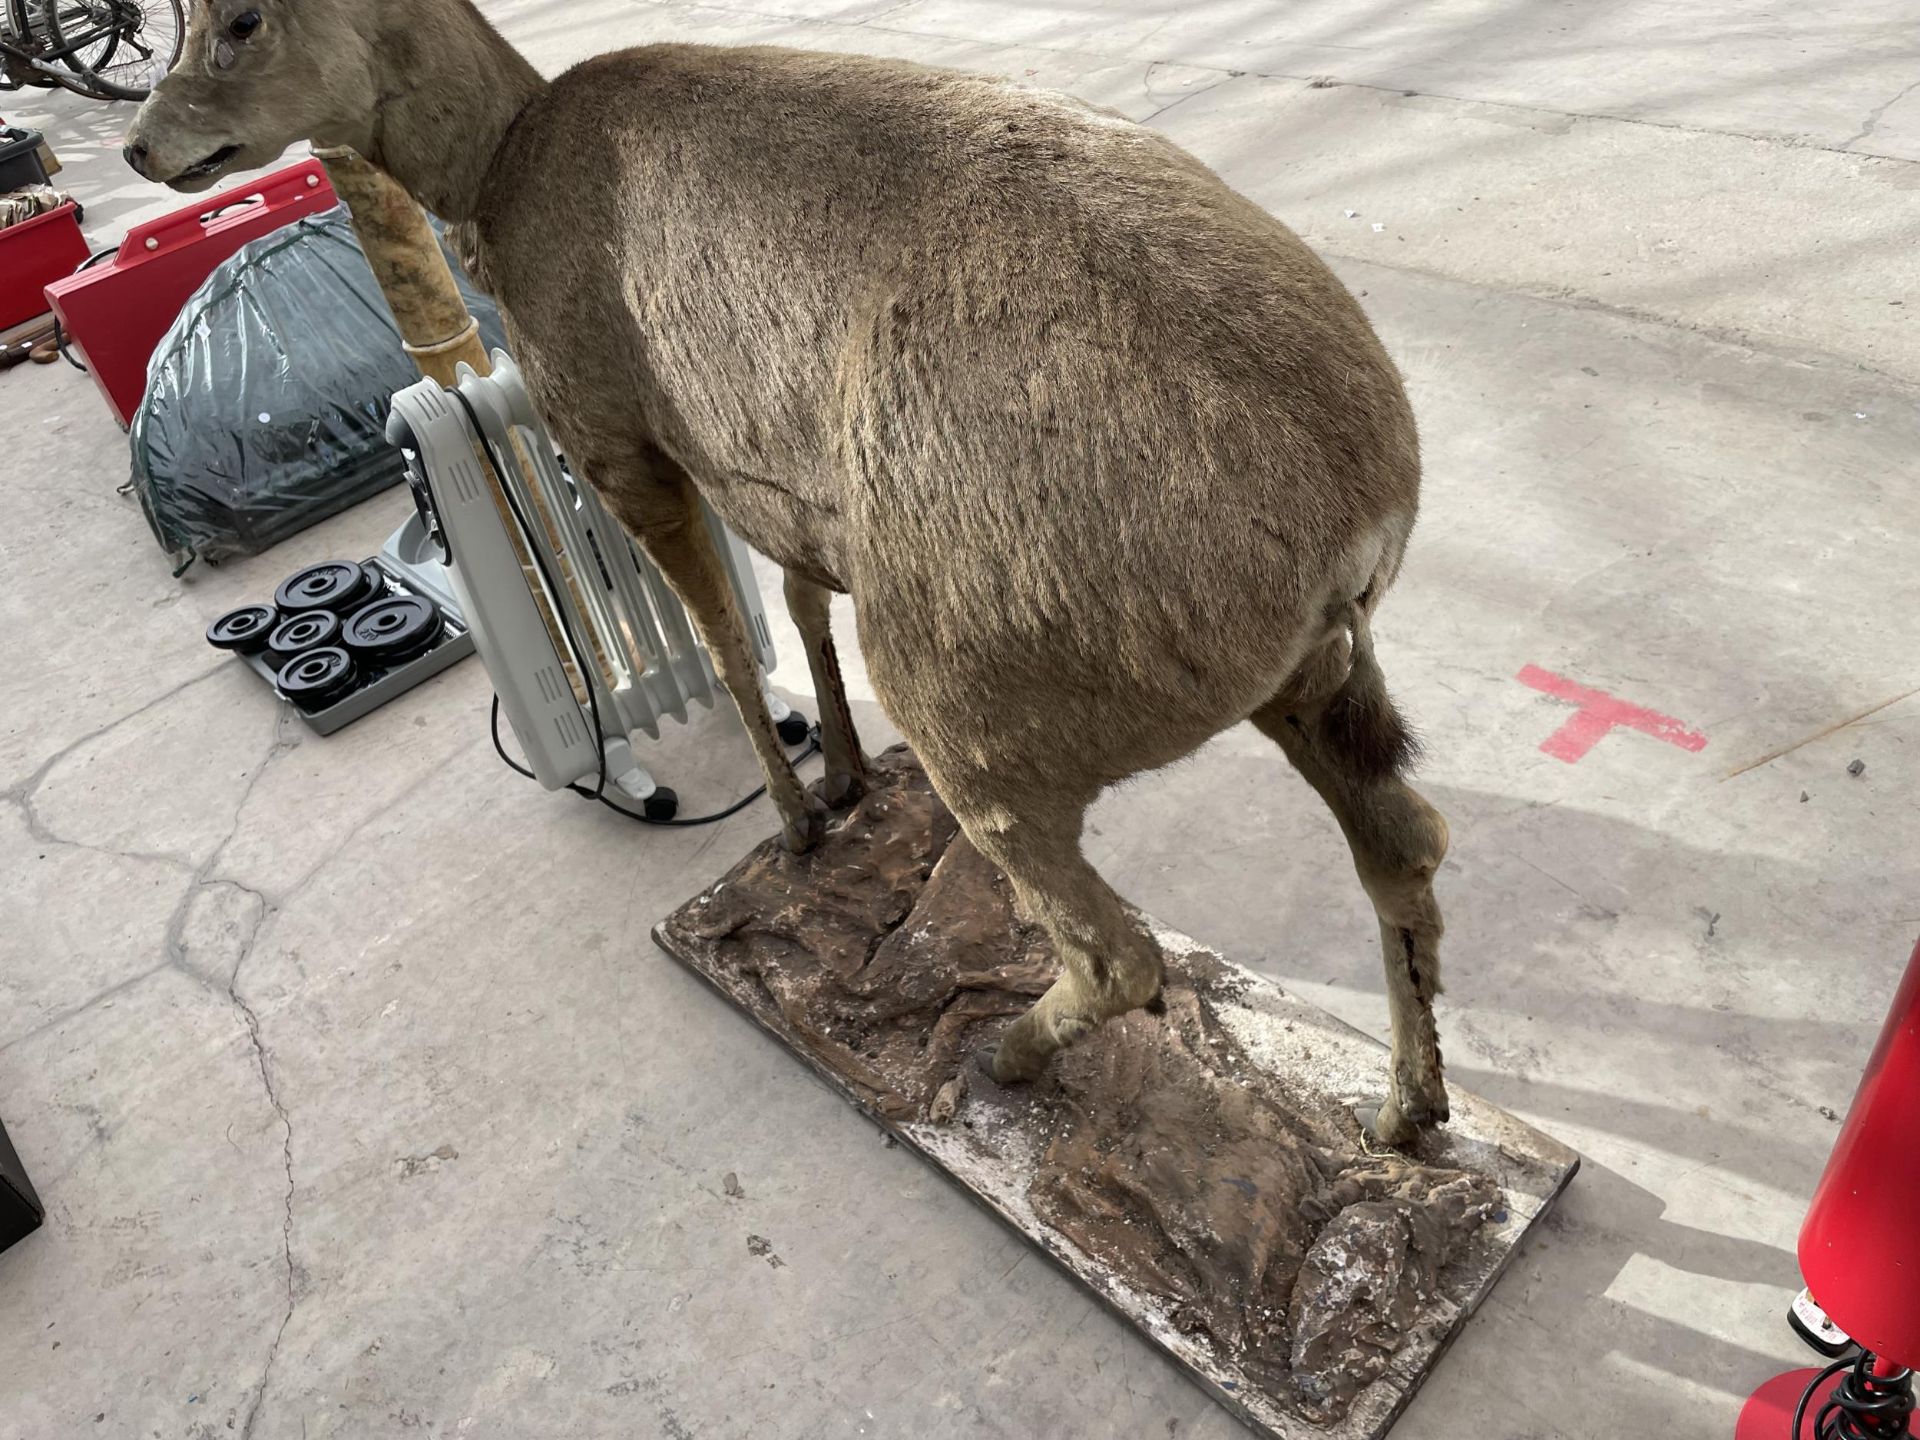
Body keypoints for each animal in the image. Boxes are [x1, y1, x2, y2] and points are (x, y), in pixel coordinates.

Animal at [127, 0, 1451, 1144]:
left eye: (241, 17)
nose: (145, 145)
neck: (500, 172)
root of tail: (1357, 517)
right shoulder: (788, 491)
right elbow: (800, 602)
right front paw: (852, 778)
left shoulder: (616, 434)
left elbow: (722, 631)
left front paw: (803, 819)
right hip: (1321, 674)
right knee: (1405, 846)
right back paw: (1406, 1118)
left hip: (978, 698)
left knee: (1116, 949)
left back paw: (1004, 1054)